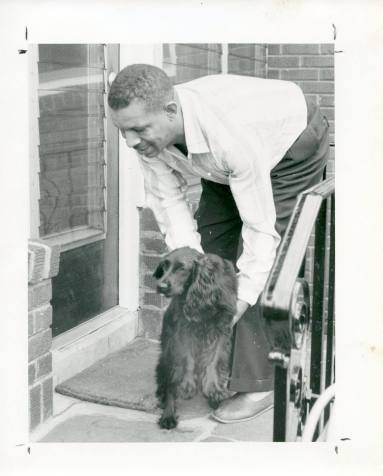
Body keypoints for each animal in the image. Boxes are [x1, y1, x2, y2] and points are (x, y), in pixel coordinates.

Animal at [152, 247, 237, 430]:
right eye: (165, 266)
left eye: (182, 268)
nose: (161, 286)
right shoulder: (183, 330)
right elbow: (188, 360)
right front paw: (188, 383)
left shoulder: (222, 329)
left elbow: (214, 360)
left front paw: (213, 387)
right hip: (169, 353)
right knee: (170, 383)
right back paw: (168, 414)